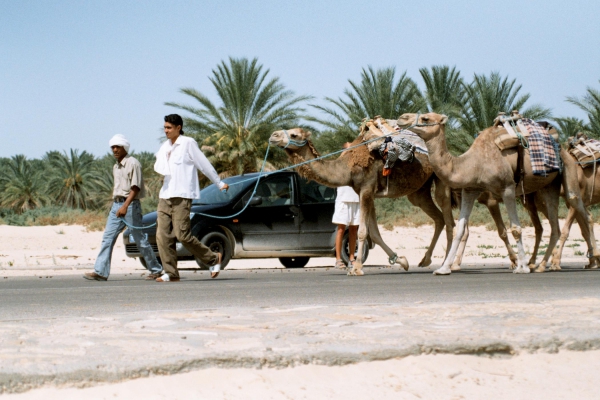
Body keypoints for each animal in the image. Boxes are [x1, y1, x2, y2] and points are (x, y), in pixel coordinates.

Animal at [268, 127, 450, 276]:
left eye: (294, 134)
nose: (273, 135)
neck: (347, 168)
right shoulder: (369, 194)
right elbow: (375, 234)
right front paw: (402, 261)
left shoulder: (366, 189)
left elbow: (362, 231)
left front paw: (356, 268)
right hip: (420, 191)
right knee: (439, 219)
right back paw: (427, 260)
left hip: (440, 178)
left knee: (449, 219)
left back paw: (448, 264)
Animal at [396, 112, 596, 276]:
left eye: (425, 118)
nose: (402, 118)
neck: (473, 163)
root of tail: (560, 144)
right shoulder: (469, 190)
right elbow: (460, 229)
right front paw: (443, 268)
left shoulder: (506, 188)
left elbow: (515, 228)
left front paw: (521, 267)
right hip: (548, 186)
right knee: (555, 224)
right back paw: (541, 265)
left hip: (568, 171)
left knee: (580, 208)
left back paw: (593, 260)